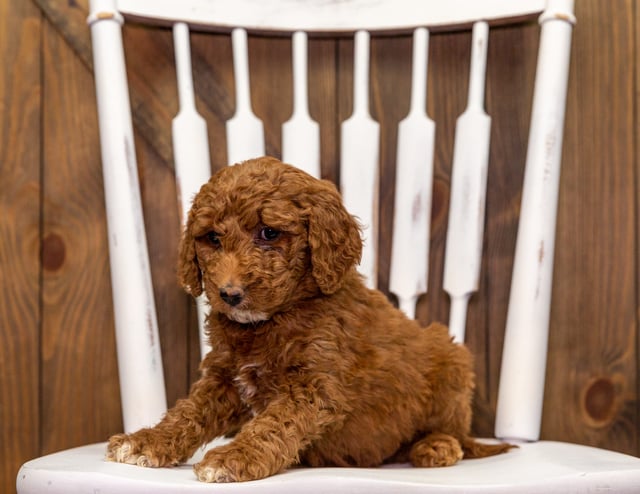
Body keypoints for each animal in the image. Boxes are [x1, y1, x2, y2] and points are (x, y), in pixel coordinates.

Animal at [107, 155, 512, 482]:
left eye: (269, 233)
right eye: (212, 238)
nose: (229, 294)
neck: (272, 320)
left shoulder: (314, 387)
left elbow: (273, 424)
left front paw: (234, 457)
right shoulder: (224, 377)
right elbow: (189, 412)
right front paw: (146, 441)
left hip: (451, 361)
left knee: (456, 432)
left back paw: (437, 446)